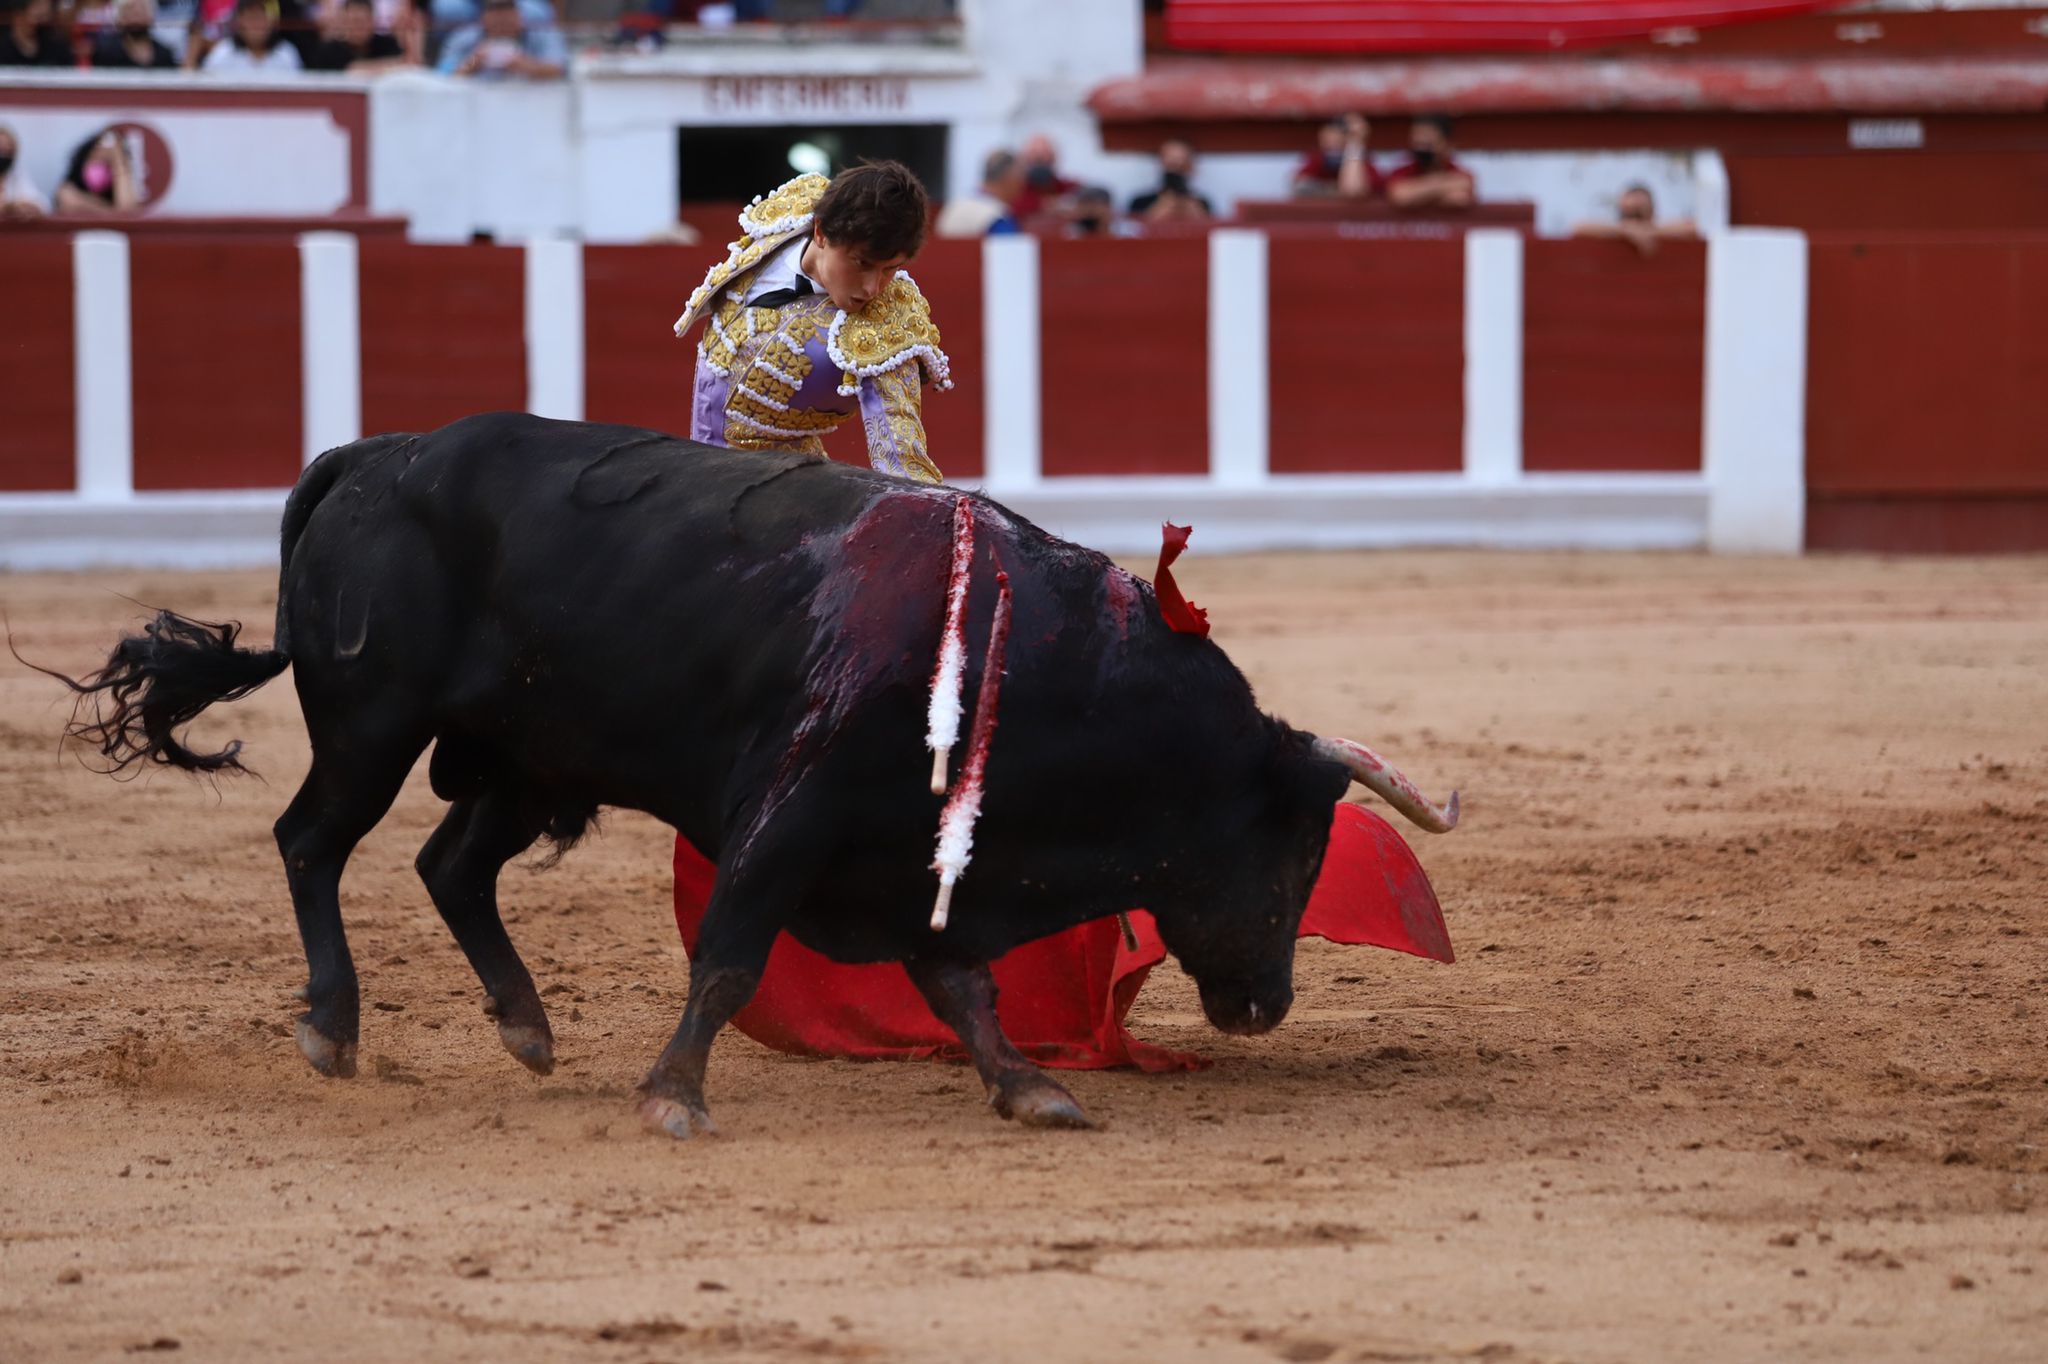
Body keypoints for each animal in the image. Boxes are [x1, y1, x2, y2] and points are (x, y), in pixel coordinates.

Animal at [51, 409, 1458, 1130]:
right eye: (1291, 845)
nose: (1264, 1003)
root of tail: (370, 456)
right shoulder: (793, 811)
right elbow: (728, 954)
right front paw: (673, 1095)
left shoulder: (917, 855)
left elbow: (961, 984)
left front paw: (1028, 1087)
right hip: (374, 722)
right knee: (312, 842)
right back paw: (332, 1027)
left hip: (530, 752)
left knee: (451, 865)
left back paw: (526, 1025)